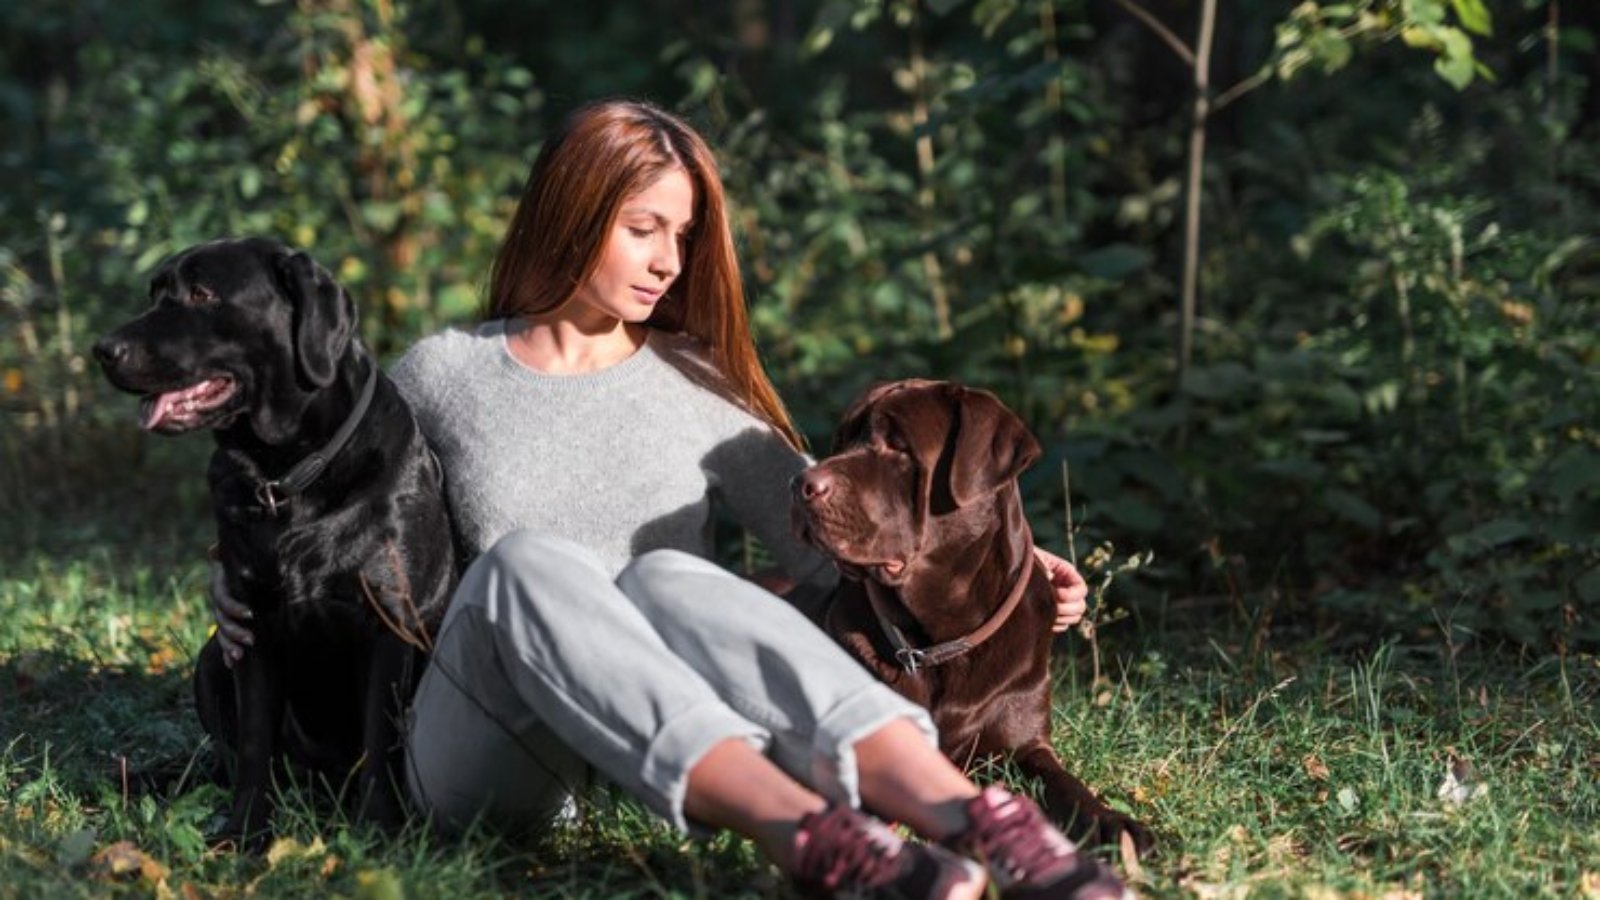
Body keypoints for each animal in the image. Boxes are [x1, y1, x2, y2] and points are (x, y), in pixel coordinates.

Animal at [94, 237, 457, 832]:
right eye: (154, 294)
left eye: (202, 293)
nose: (103, 349)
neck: (285, 478)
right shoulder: (250, 624)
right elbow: (253, 745)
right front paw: (244, 832)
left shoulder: (389, 621)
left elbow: (380, 739)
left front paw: (379, 828)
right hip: (211, 659)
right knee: (227, 758)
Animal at [796, 376, 1152, 845]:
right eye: (841, 441)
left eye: (898, 446)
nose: (800, 483)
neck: (940, 640)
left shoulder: (1026, 743)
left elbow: (1066, 784)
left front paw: (1116, 824)